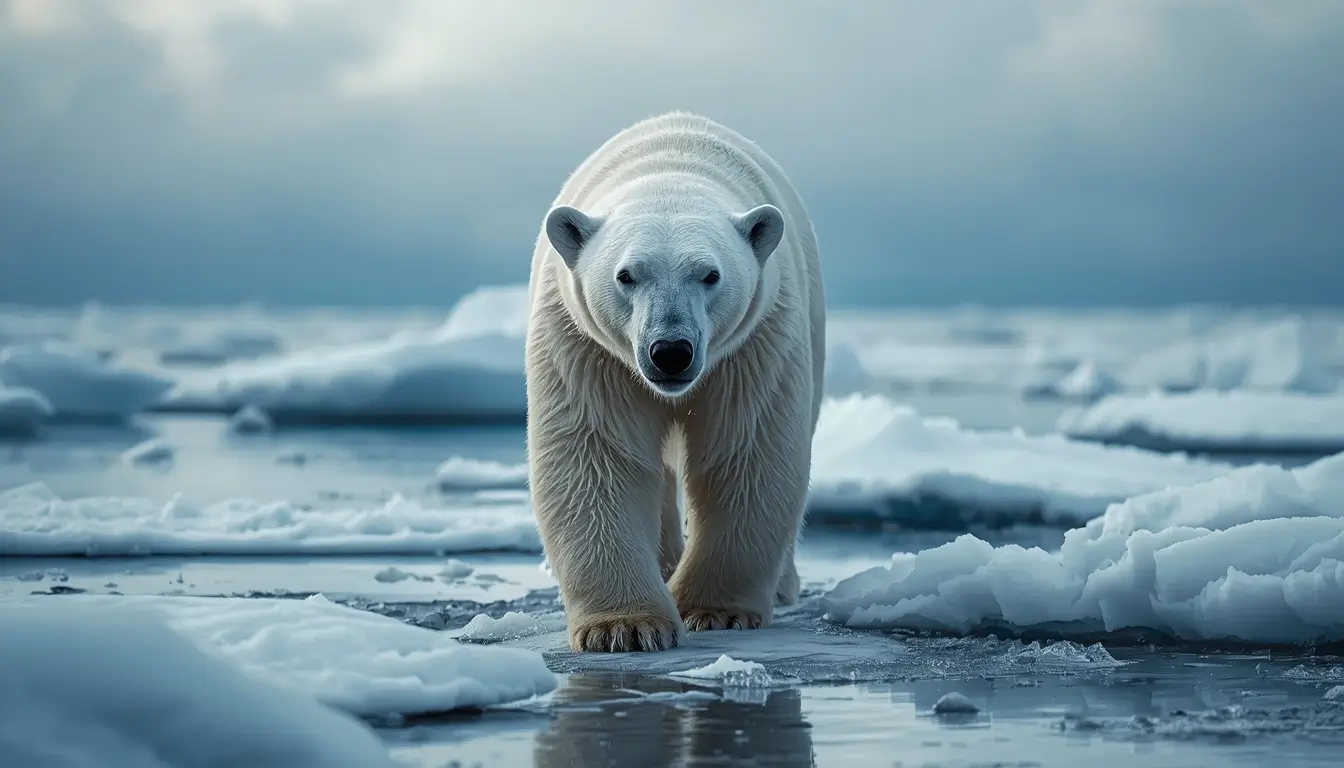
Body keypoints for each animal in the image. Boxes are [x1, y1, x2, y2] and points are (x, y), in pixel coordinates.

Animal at [525, 111, 825, 653]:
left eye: (710, 275)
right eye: (626, 275)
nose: (670, 352)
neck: (670, 164)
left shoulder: (754, 344)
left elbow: (744, 451)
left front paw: (716, 611)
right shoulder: (586, 345)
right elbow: (597, 453)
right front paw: (624, 627)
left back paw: (783, 584)